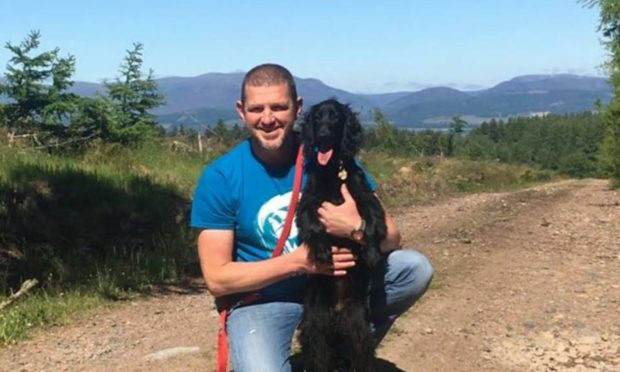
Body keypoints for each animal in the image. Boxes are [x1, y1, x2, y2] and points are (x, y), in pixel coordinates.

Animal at [296, 97, 388, 370]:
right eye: (317, 118)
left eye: (335, 117)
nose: (323, 135)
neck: (332, 172)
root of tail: (337, 313)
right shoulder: (309, 202)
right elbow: (314, 225)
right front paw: (322, 252)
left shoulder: (366, 198)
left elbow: (370, 222)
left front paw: (371, 252)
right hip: (315, 325)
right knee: (318, 356)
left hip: (358, 327)